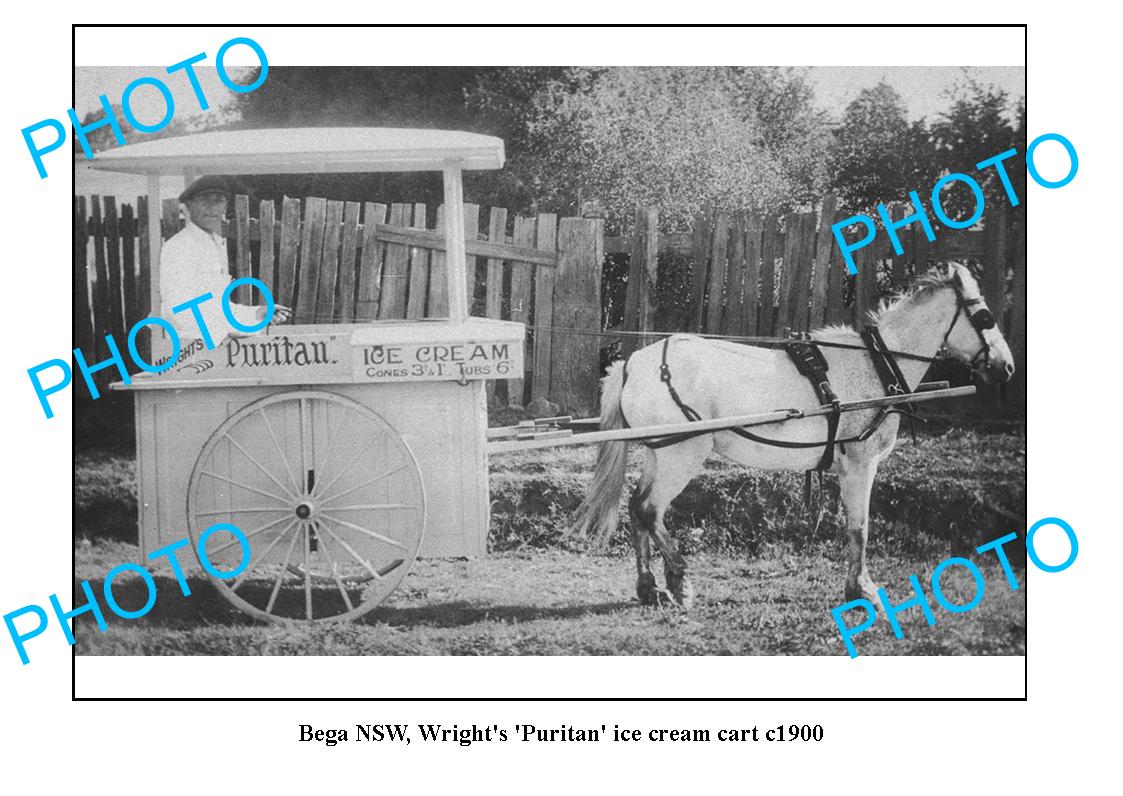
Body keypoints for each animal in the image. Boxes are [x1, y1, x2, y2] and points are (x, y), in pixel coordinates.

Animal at [574, 263, 1015, 606]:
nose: (1007, 367)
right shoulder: (860, 463)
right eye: (986, 318)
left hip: (659, 451)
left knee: (638, 507)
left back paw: (650, 588)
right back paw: (680, 580)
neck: (876, 364)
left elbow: (853, 526)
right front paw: (862, 589)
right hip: (682, 454)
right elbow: (860, 526)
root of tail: (632, 364)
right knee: (650, 509)